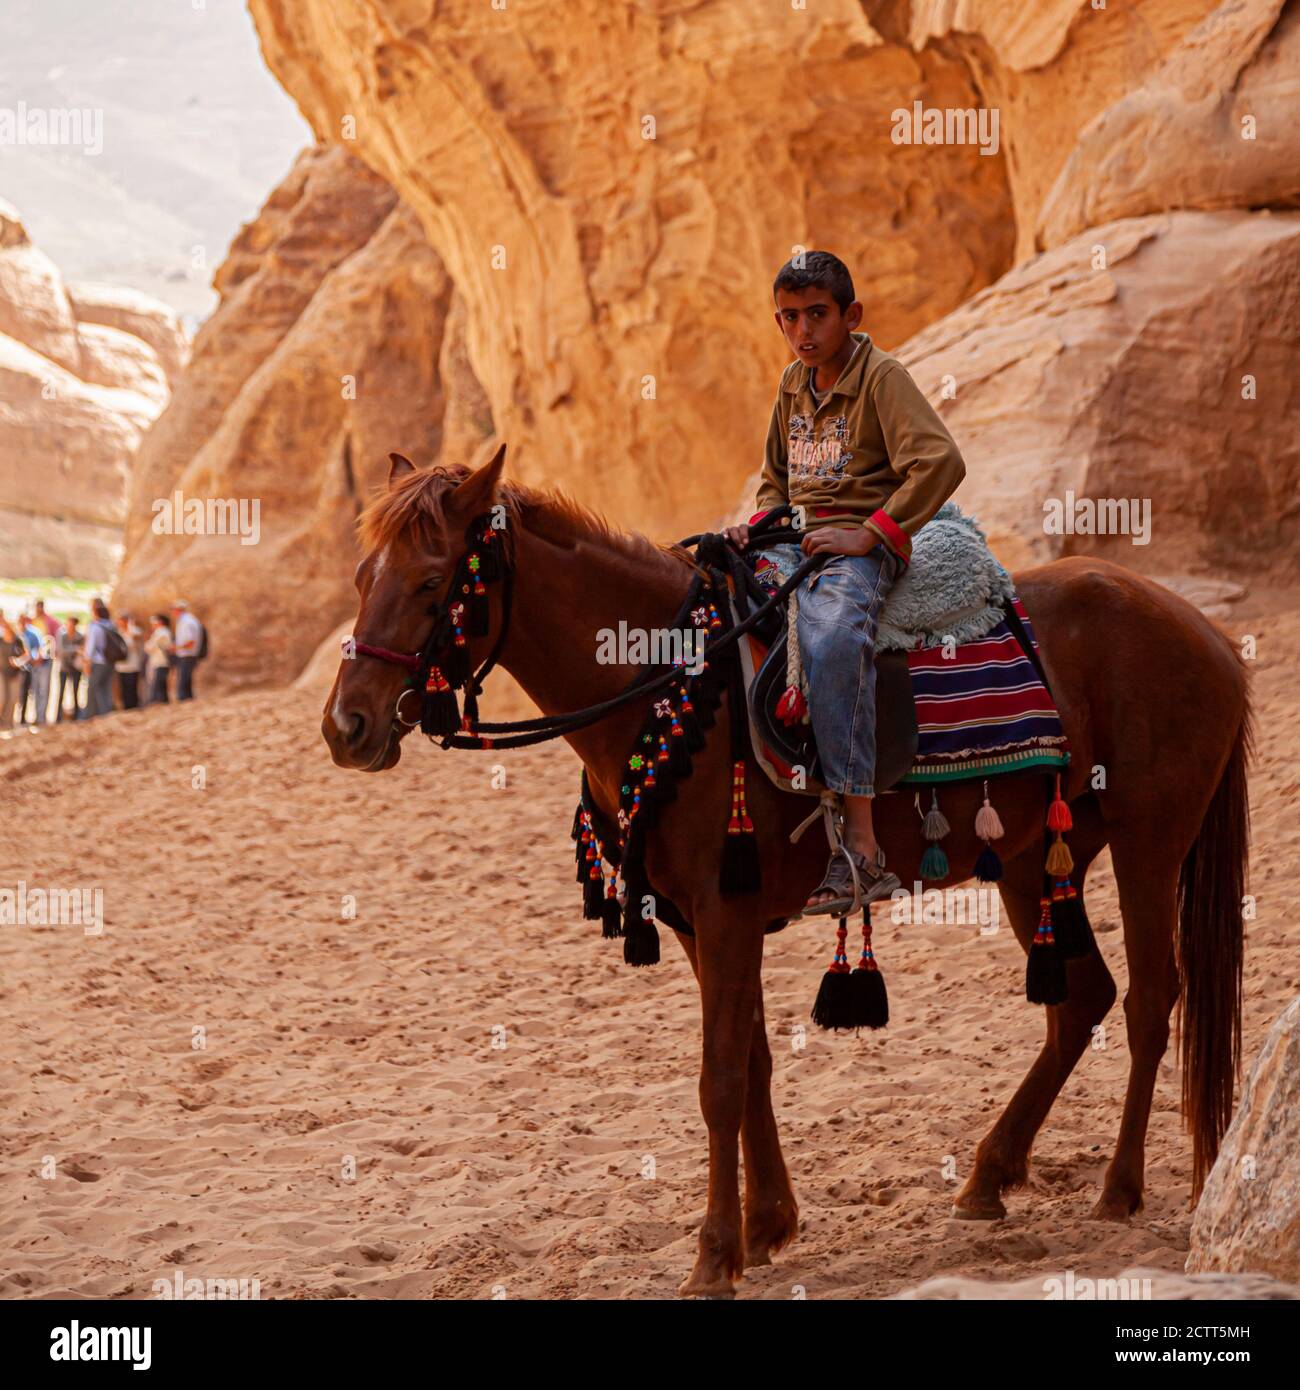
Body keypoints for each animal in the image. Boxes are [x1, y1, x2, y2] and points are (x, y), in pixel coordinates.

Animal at [322, 447, 1251, 1301]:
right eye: (364, 575)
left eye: (432, 581)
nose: (346, 726)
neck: (669, 683)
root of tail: (1205, 633)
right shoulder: (698, 925)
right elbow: (756, 1062)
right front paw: (766, 1225)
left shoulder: (725, 914)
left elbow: (721, 1080)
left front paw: (712, 1257)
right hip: (1032, 863)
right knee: (1082, 1001)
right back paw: (990, 1175)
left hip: (1148, 844)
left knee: (1148, 1002)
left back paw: (1118, 1189)